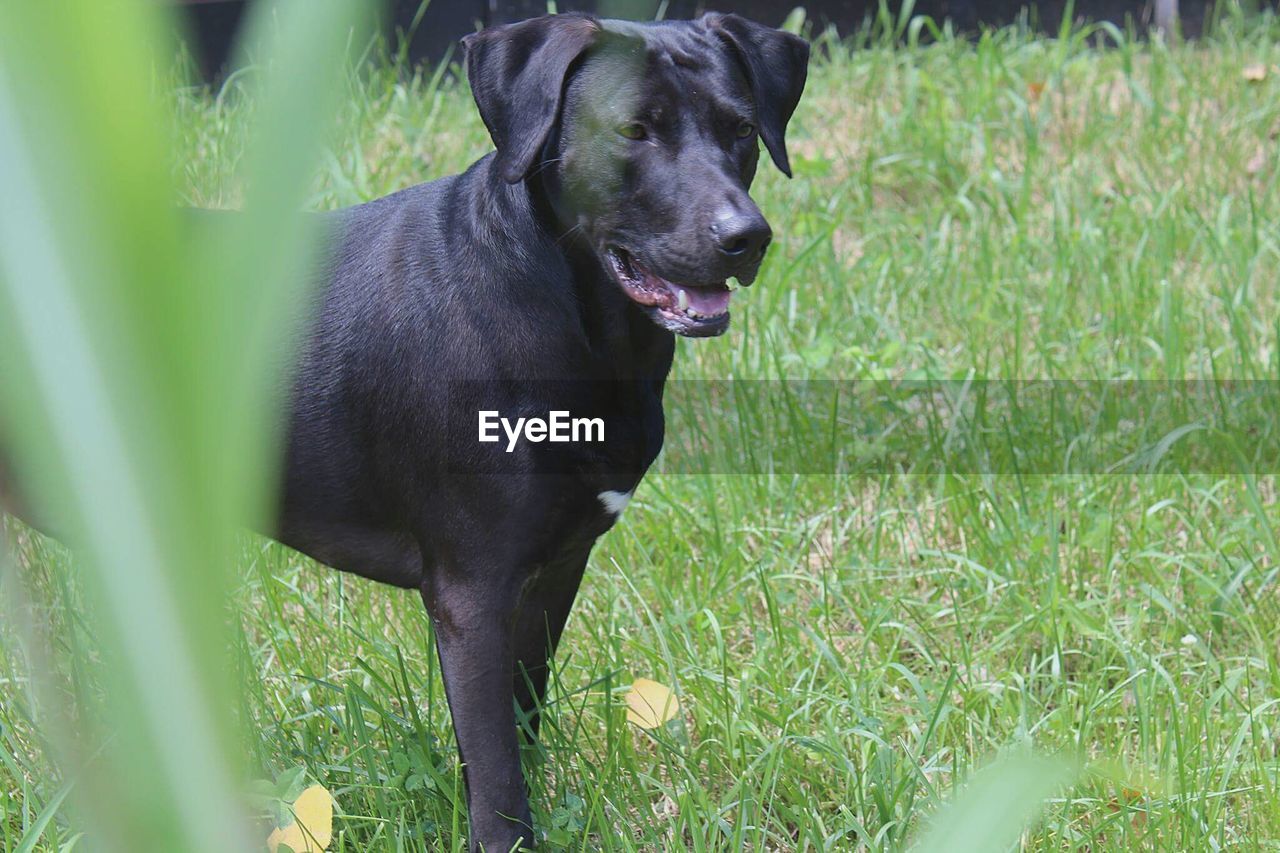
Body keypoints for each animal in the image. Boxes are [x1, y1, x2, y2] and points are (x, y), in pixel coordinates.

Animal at [2, 13, 798, 850]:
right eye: (635, 131)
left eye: (741, 129)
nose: (746, 236)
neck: (574, 318)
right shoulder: (473, 594)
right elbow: (497, 773)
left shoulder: (555, 570)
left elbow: (518, 728)